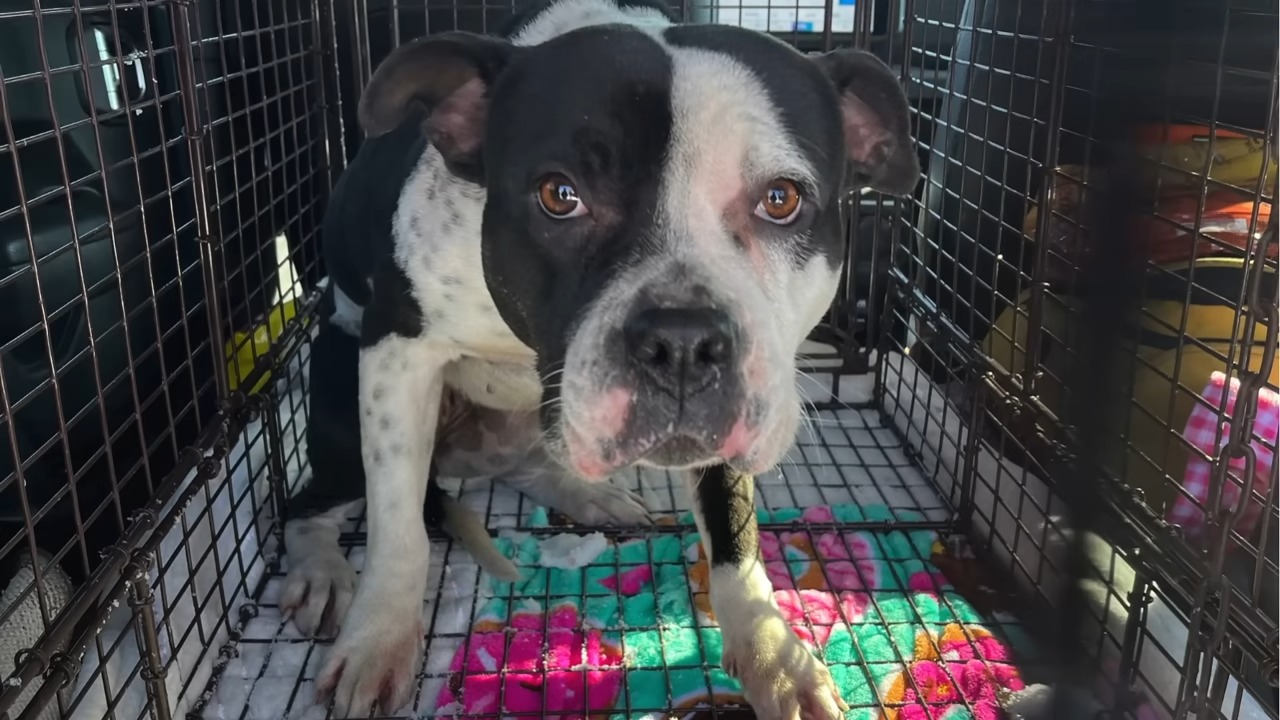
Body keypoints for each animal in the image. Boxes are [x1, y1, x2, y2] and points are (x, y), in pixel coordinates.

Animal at [282, 0, 921, 712]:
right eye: (559, 195)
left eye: (781, 198)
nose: (682, 342)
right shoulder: (398, 352)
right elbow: (397, 524)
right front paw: (380, 639)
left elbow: (733, 525)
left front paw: (772, 656)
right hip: (336, 384)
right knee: (309, 507)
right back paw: (321, 572)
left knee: (531, 465)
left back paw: (589, 496)